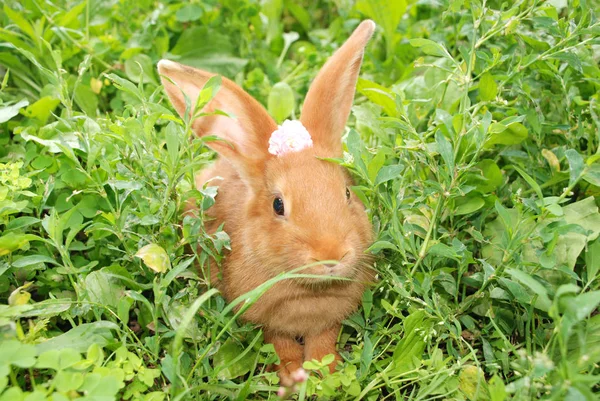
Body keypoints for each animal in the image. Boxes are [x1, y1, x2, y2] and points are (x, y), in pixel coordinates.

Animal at [158, 19, 376, 384]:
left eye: (347, 193)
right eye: (278, 205)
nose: (331, 255)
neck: (308, 289)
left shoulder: (330, 320)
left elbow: (323, 340)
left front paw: (324, 373)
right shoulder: (263, 318)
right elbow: (279, 342)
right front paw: (290, 373)